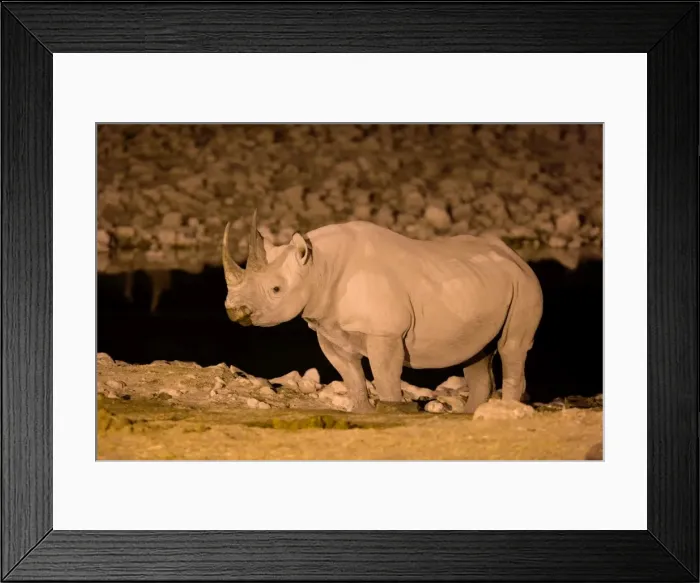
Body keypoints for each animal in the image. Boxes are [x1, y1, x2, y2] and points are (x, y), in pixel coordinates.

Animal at [223, 211, 543, 413]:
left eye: (276, 289)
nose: (234, 310)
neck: (318, 268)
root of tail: (516, 257)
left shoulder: (385, 333)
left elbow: (385, 376)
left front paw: (391, 410)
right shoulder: (328, 328)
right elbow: (351, 375)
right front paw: (362, 413)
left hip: (526, 285)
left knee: (512, 347)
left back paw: (505, 410)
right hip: (482, 284)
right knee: (477, 353)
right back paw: (470, 414)